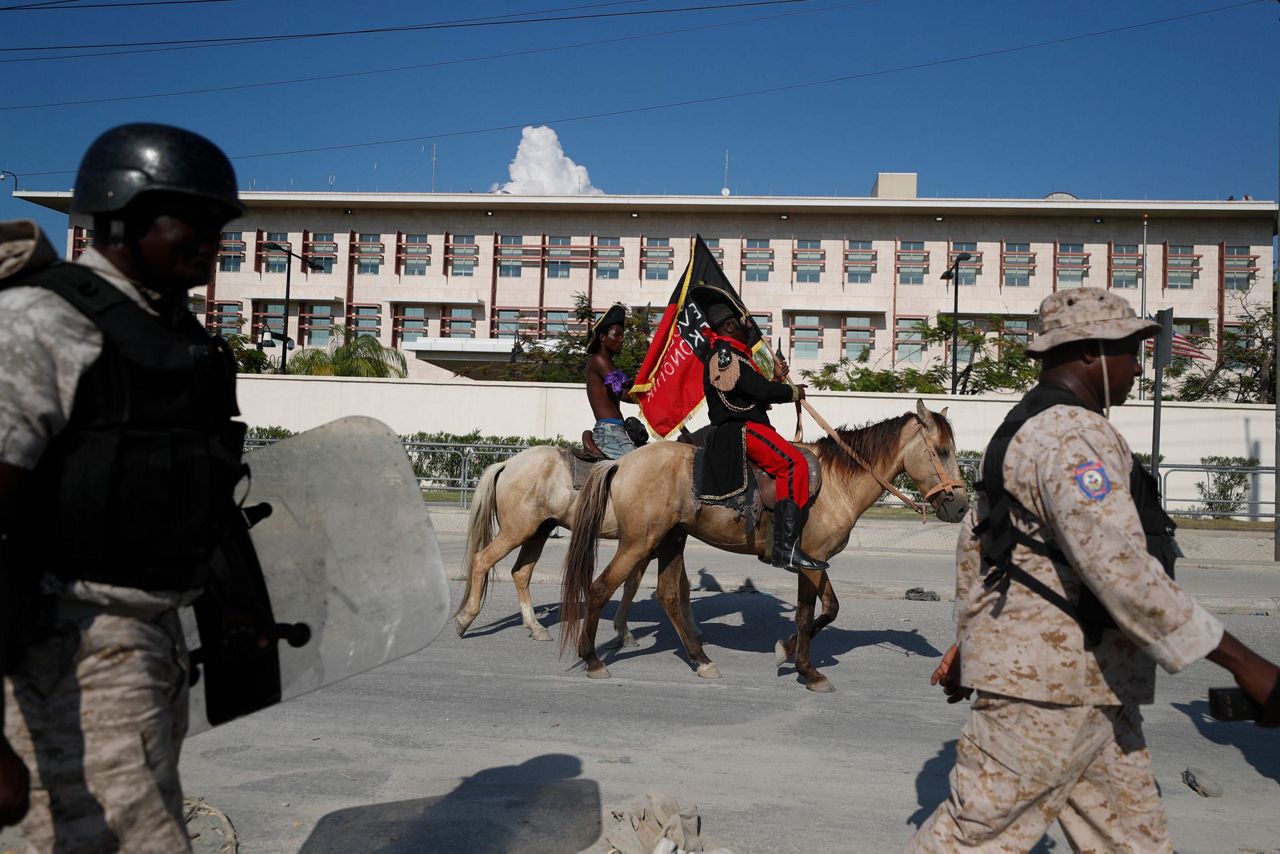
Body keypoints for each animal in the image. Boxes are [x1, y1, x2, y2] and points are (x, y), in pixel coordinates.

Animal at [448, 448, 691, 647]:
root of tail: (507, 464)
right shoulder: (644, 546)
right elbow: (637, 585)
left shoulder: (643, 549)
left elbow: (634, 586)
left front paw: (624, 632)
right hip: (515, 532)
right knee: (481, 560)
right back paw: (465, 618)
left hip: (538, 532)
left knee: (521, 573)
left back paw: (535, 627)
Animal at [560, 402, 967, 696]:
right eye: (942, 451)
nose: (961, 507)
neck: (838, 482)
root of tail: (621, 463)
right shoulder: (807, 561)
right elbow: (806, 614)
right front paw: (808, 670)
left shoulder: (816, 561)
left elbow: (829, 609)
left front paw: (786, 651)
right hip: (639, 541)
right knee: (599, 588)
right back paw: (593, 659)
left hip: (671, 539)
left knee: (669, 596)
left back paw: (701, 659)